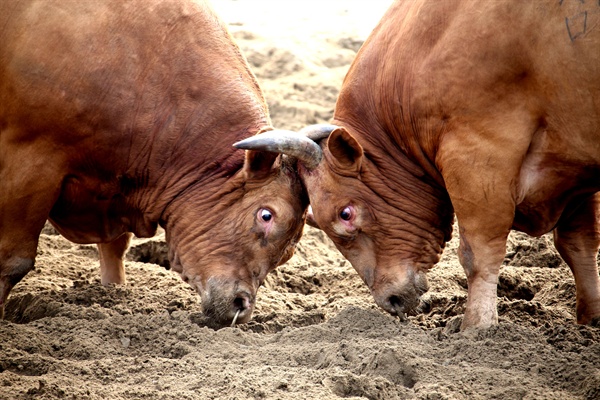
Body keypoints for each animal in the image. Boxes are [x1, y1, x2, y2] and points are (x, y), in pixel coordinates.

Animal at [0, 0, 318, 324]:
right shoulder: (31, 164)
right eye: (266, 215)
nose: (241, 306)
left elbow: (115, 250)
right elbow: (13, 260)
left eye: (289, 252)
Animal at [237, 0, 600, 330]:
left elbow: (478, 253)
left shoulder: (478, 155)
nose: (392, 300)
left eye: (345, 214)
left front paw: (476, 327)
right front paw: (591, 318)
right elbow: (577, 244)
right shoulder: (572, 170)